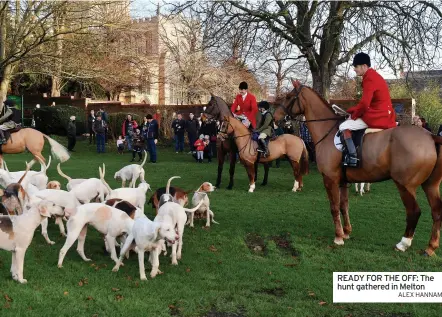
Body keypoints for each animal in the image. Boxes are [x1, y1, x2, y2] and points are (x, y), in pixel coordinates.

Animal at [272, 78, 442, 256]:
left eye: (288, 97)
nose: (275, 118)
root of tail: (431, 137)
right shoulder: (342, 181)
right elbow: (344, 205)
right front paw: (346, 232)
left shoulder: (330, 179)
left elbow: (334, 207)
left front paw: (338, 237)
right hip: (430, 185)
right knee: (437, 211)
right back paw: (430, 247)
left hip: (405, 186)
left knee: (414, 211)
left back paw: (403, 244)